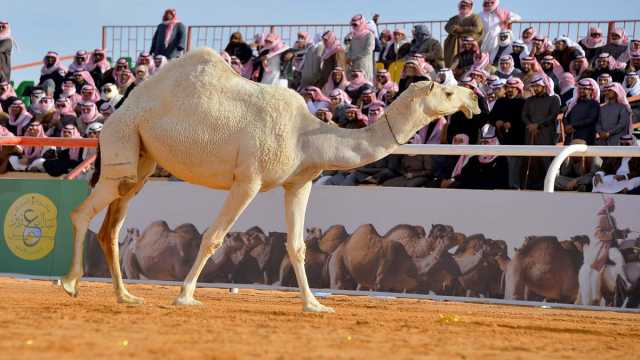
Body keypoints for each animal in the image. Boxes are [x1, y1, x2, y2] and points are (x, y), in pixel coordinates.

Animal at [61, 47, 480, 312]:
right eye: (447, 91)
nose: (474, 100)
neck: (306, 135)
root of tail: (119, 109)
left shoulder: (299, 183)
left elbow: (297, 246)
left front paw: (314, 305)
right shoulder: (248, 179)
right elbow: (213, 237)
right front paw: (185, 296)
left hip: (142, 160)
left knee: (112, 225)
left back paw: (126, 297)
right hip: (122, 145)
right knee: (83, 213)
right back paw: (70, 283)